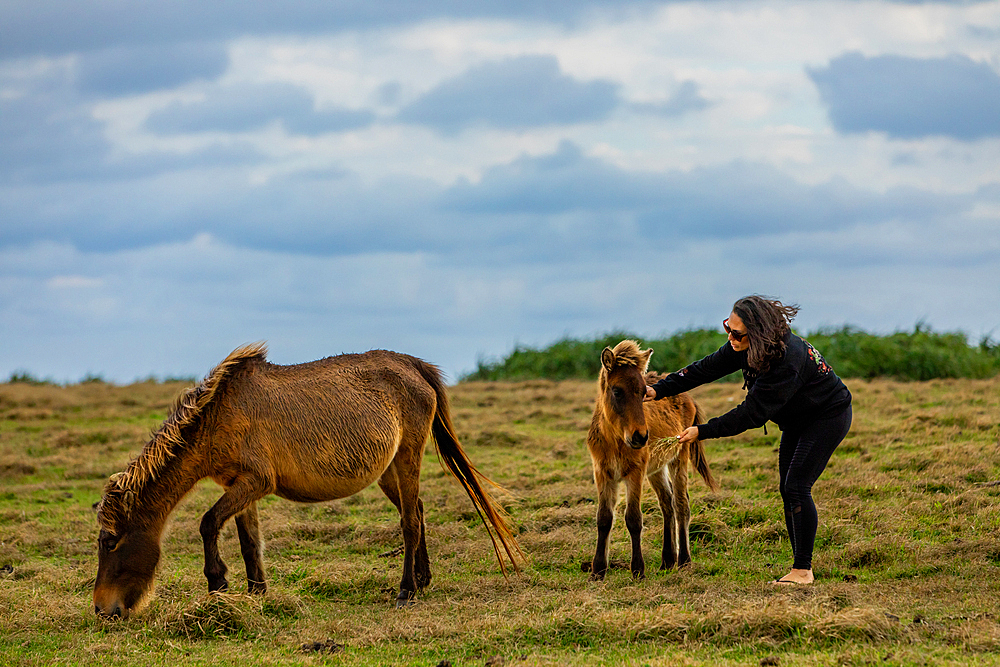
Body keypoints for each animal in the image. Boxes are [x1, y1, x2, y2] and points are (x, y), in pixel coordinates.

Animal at [94, 342, 524, 620]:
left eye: (111, 542)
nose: (102, 609)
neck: (218, 414)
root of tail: (413, 365)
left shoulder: (255, 481)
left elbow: (208, 523)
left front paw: (218, 584)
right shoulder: (239, 486)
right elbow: (249, 541)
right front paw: (255, 593)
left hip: (407, 457)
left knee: (409, 522)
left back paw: (406, 590)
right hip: (387, 471)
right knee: (415, 510)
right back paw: (422, 579)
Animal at [584, 340, 720, 580]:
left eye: (642, 393)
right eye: (617, 391)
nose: (640, 437)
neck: (615, 440)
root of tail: (689, 398)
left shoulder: (635, 472)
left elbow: (633, 518)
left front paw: (638, 569)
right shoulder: (602, 472)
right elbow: (604, 518)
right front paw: (598, 570)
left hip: (678, 458)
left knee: (681, 504)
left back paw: (684, 560)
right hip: (656, 468)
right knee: (667, 502)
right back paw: (667, 560)